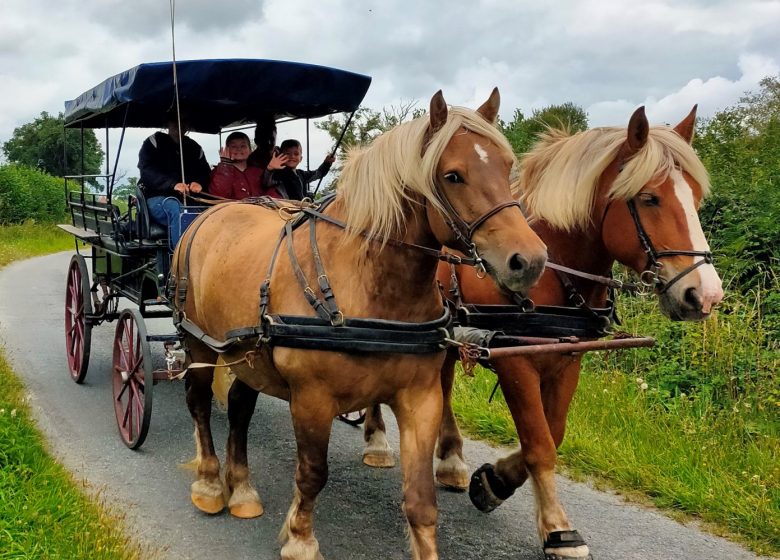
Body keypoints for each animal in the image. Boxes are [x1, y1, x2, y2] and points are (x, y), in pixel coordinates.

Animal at [171, 88, 548, 560]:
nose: (529, 260)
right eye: (453, 175)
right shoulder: (311, 399)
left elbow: (421, 501)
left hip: (247, 355)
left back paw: (241, 490)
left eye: (506, 164)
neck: (369, 286)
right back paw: (209, 483)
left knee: (239, 407)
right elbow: (312, 473)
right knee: (199, 403)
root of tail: (209, 214)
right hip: (201, 347)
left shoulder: (421, 399)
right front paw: (300, 538)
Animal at [360, 106, 724, 560]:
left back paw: (450, 461)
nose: (705, 294)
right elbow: (539, 443)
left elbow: (556, 432)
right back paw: (377, 441)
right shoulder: (515, 361)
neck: (554, 273)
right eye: (649, 198)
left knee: (442, 385)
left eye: (695, 197)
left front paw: (494, 480)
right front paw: (556, 526)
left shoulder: (568, 358)